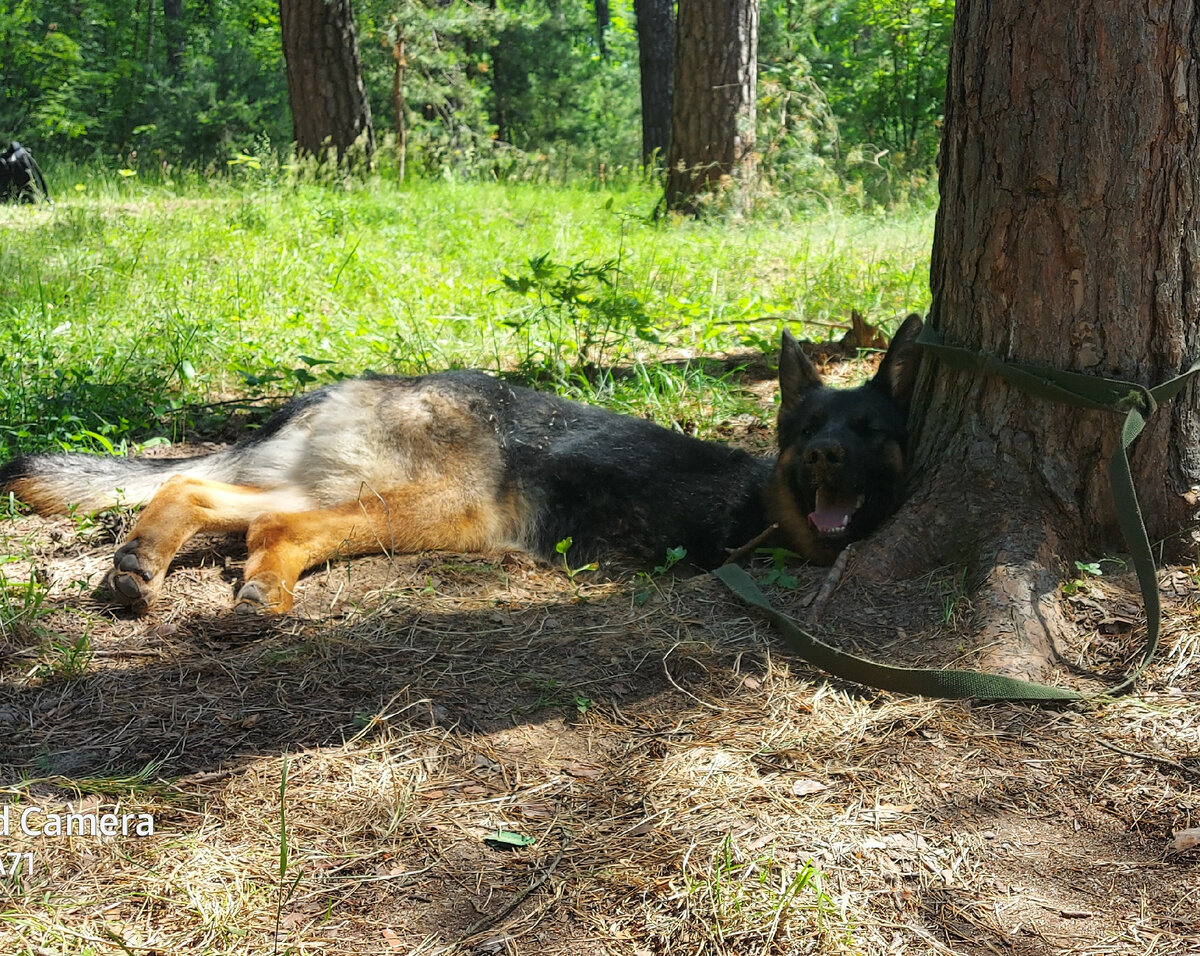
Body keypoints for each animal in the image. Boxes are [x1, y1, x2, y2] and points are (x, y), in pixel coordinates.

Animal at [0, 314, 921, 611]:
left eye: (869, 429)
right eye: (811, 428)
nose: (827, 453)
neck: (766, 497)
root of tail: (355, 383)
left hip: (343, 482)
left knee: (193, 484)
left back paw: (138, 563)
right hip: (439, 509)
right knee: (276, 525)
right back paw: (265, 588)